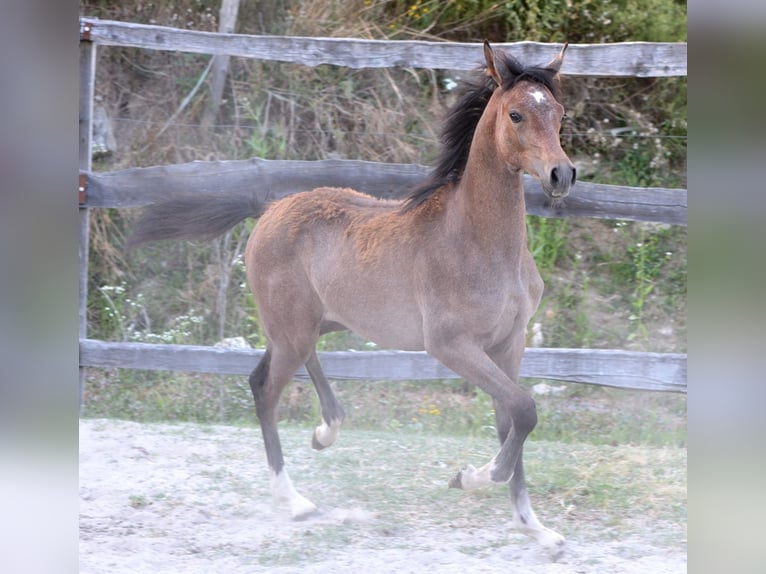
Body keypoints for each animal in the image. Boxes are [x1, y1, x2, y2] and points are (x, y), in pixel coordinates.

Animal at [128, 41, 576, 550]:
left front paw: (534, 527)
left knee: (282, 369)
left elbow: (510, 419)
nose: (562, 175)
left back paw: (327, 429)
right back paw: (294, 500)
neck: (476, 241)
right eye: (516, 114)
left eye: (559, 112)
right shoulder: (451, 345)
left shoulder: (509, 342)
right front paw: (470, 478)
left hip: (309, 324)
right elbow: (523, 410)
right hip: (292, 326)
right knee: (265, 388)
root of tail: (270, 208)